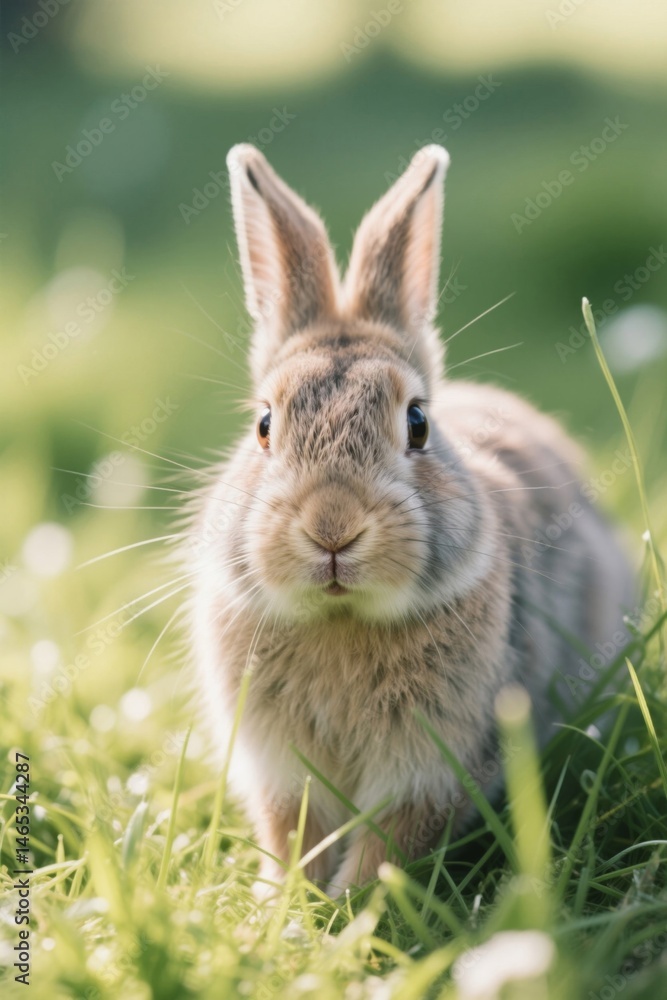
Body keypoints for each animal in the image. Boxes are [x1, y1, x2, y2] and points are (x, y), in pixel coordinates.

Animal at [188, 142, 634, 895]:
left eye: (418, 423)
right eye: (264, 425)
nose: (331, 528)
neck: (341, 620)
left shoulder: (431, 766)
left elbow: (390, 841)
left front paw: (353, 908)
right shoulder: (279, 767)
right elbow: (293, 828)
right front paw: (292, 899)